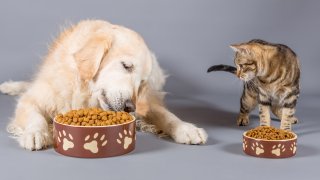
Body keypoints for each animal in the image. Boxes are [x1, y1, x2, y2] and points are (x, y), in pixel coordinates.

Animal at [0, 19, 208, 150]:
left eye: (142, 83)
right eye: (126, 66)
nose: (130, 107)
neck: (85, 92)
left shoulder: (146, 102)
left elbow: (166, 115)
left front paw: (187, 129)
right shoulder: (32, 100)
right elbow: (35, 117)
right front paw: (36, 134)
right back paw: (10, 86)